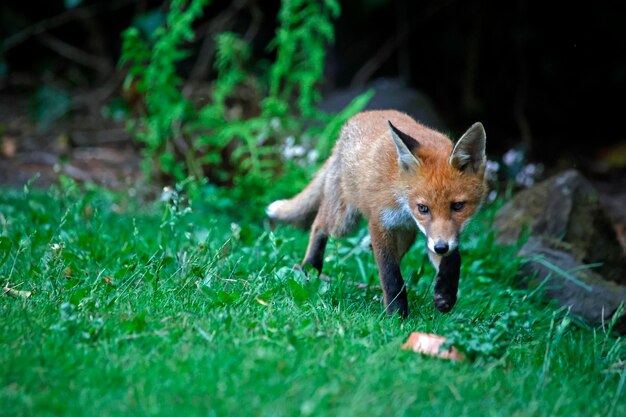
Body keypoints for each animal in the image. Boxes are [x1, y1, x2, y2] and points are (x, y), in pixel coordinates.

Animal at [266, 109, 486, 316]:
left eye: (458, 206)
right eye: (423, 208)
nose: (441, 247)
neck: (401, 195)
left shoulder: (432, 233)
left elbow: (453, 259)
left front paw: (444, 294)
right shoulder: (380, 222)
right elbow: (391, 274)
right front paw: (397, 314)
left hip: (406, 235)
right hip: (344, 221)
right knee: (319, 224)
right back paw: (309, 269)